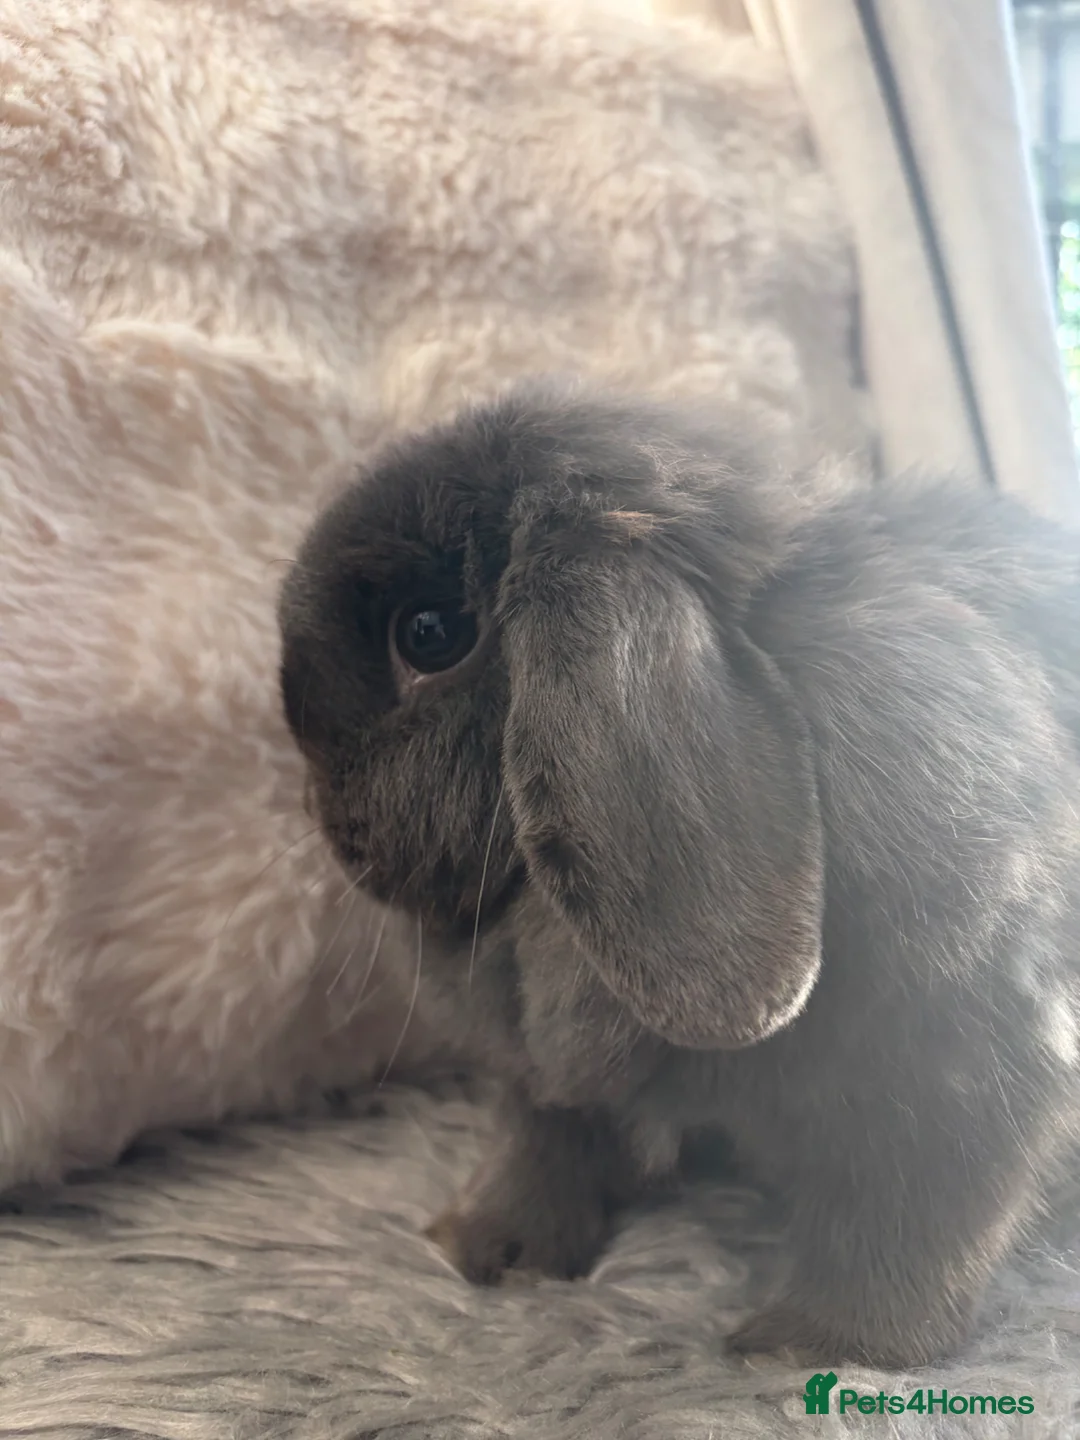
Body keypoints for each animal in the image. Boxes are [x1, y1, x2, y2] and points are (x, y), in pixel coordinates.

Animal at [277, 379, 1080, 1369]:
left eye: (428, 634)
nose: (319, 810)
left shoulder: (971, 1058)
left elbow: (912, 1215)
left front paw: (812, 1348)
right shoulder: (545, 1079)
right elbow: (544, 1137)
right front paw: (488, 1250)